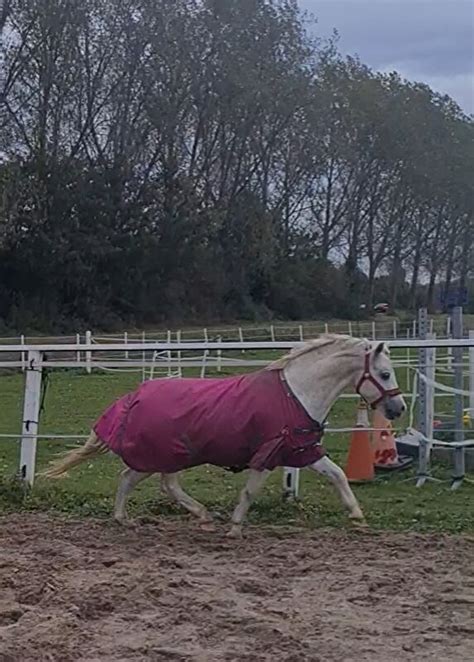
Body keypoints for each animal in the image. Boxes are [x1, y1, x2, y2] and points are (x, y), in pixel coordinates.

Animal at [42, 338, 406, 540]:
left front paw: (358, 518)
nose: (399, 408)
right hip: (170, 454)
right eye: (385, 373)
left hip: (167, 455)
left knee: (137, 479)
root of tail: (135, 395)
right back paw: (194, 515)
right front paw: (235, 527)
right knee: (153, 482)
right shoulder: (268, 453)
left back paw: (131, 518)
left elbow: (338, 475)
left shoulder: (303, 450)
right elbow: (250, 492)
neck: (297, 392)